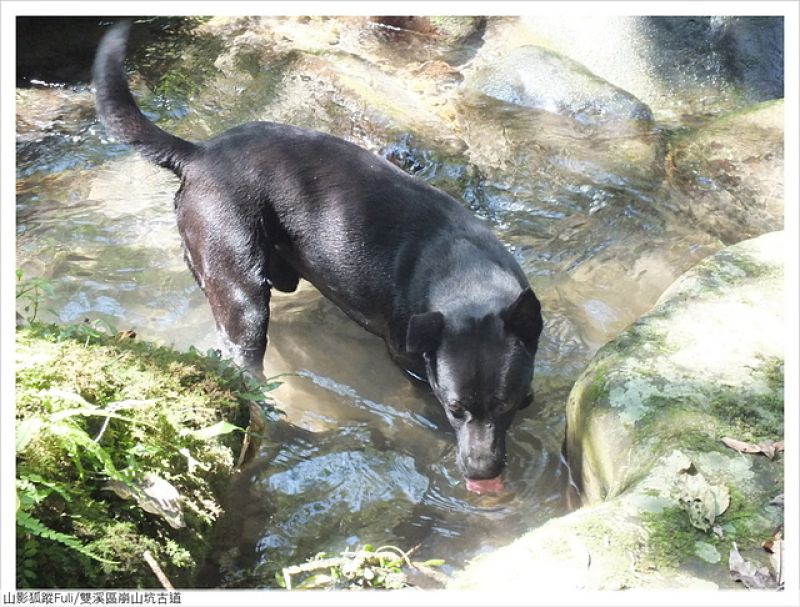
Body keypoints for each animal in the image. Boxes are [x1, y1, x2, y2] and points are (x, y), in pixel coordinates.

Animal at [94, 22, 544, 494]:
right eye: (454, 408)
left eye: (506, 404)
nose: (481, 472)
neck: (467, 272)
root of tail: (197, 154)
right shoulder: (410, 361)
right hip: (241, 294)